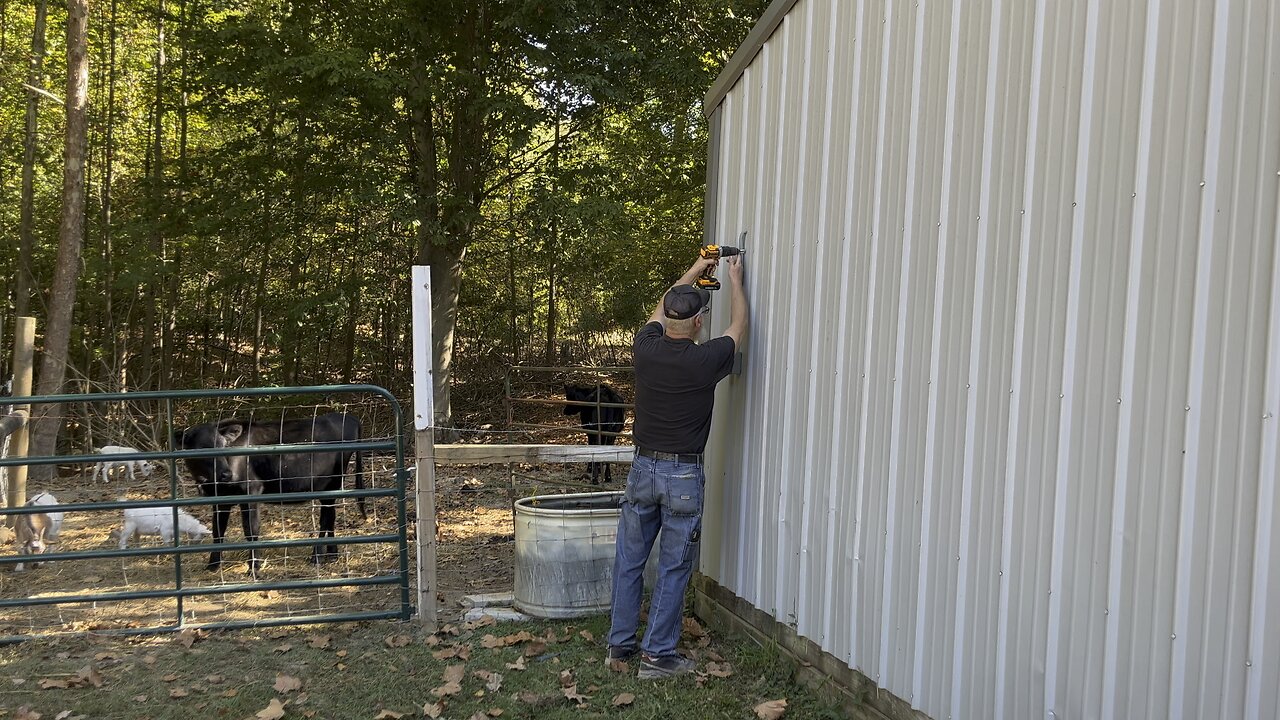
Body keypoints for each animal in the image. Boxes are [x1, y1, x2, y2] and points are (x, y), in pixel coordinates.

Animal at [170, 412, 366, 573]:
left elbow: (251, 529)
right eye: (201, 447)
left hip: (332, 482)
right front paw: (213, 565)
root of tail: (346, 417)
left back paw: (317, 557)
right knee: (331, 515)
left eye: (222, 445)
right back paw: (331, 555)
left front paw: (254, 567)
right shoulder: (220, 499)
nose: (226, 474)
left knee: (326, 518)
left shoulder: (252, 490)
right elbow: (218, 530)